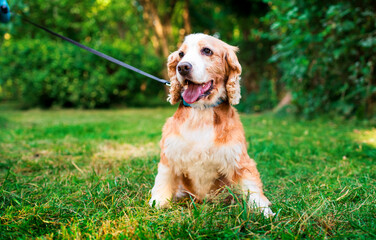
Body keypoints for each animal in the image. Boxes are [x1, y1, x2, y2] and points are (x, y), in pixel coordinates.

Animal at [148, 33, 274, 218]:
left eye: (207, 51)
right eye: (181, 54)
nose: (182, 67)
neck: (201, 112)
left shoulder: (240, 160)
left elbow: (253, 188)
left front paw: (265, 212)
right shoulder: (170, 155)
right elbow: (163, 180)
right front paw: (158, 203)